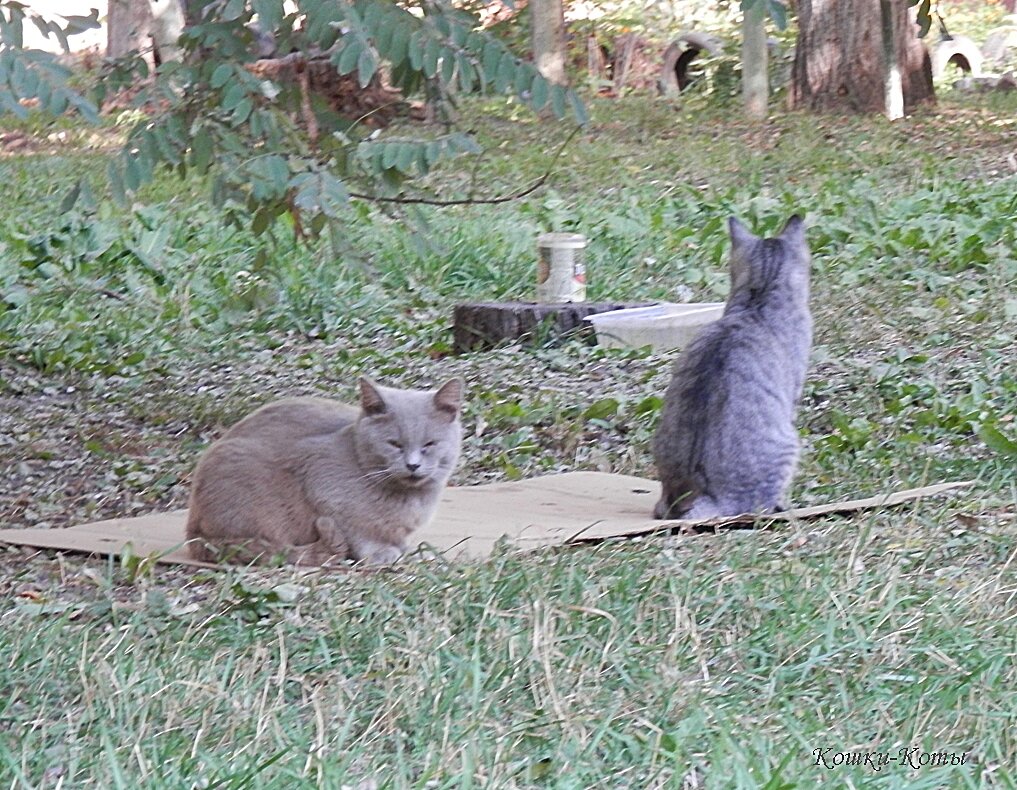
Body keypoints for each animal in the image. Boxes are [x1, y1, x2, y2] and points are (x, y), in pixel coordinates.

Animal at [187, 378, 465, 565]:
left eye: (429, 444)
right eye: (394, 444)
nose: (412, 465)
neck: (410, 499)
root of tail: (194, 529)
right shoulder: (321, 482)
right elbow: (359, 531)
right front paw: (380, 553)